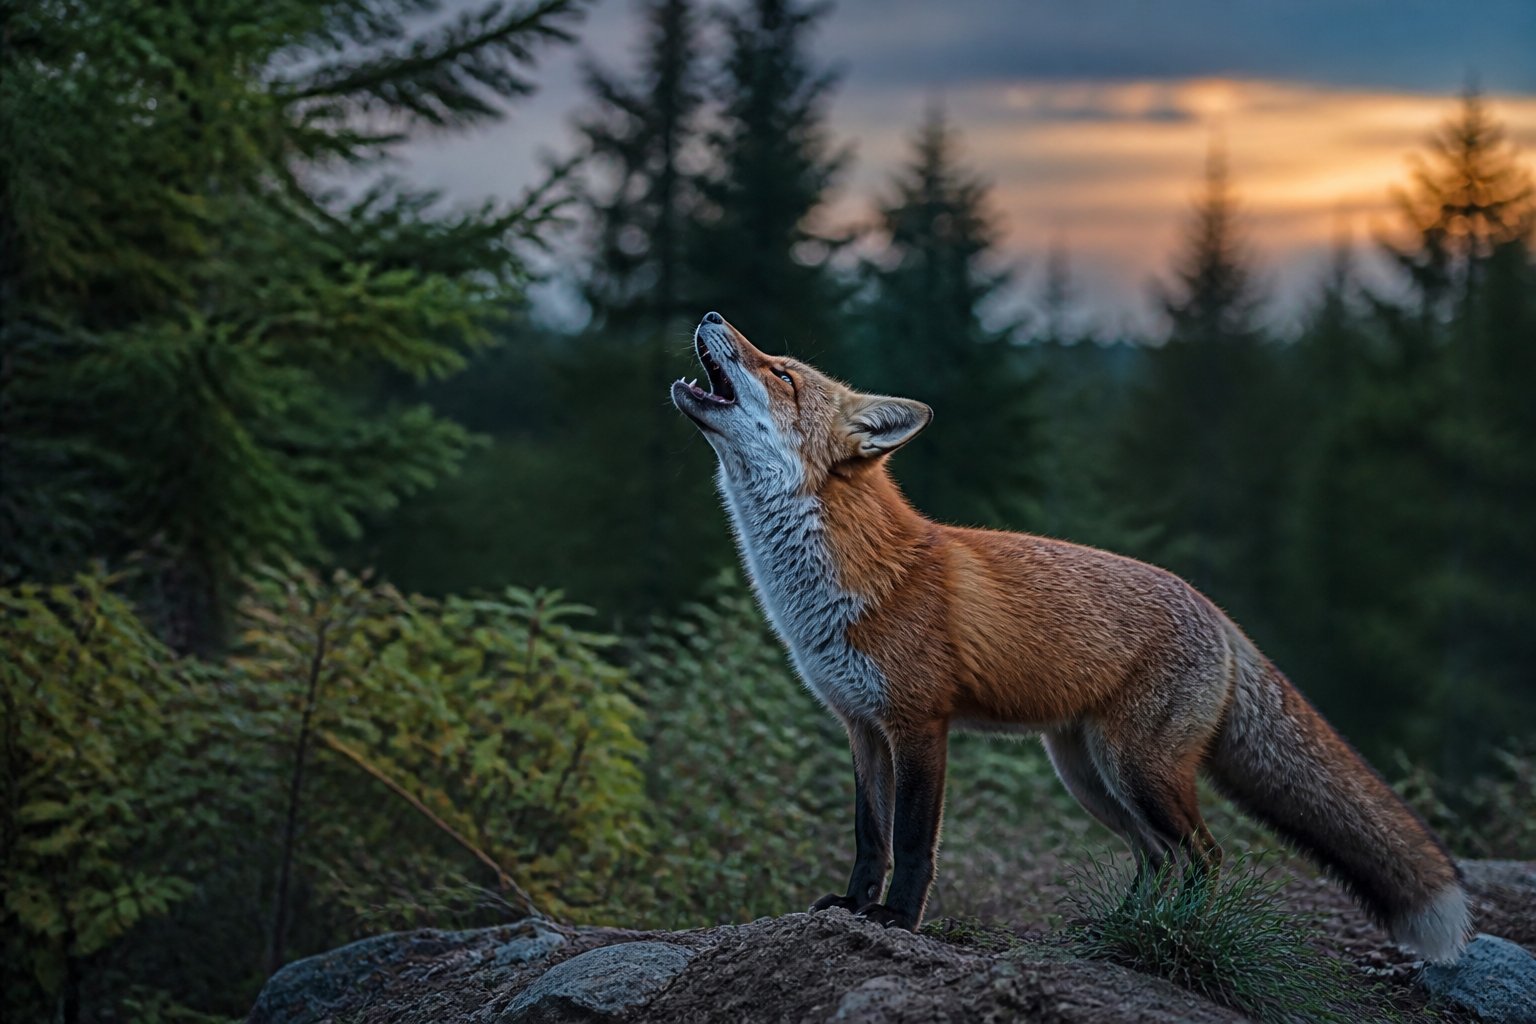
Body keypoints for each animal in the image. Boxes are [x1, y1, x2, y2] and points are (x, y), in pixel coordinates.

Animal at [671, 310, 1472, 962]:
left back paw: (1174, 934)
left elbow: (914, 842)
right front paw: (853, 906)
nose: (710, 314)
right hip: (1089, 775)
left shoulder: (920, 723)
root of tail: (1217, 613)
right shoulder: (861, 726)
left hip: (1138, 770)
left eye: (781, 373)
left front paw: (898, 921)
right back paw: (1125, 928)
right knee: (1157, 859)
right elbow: (871, 837)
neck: (839, 584)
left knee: (1206, 856)